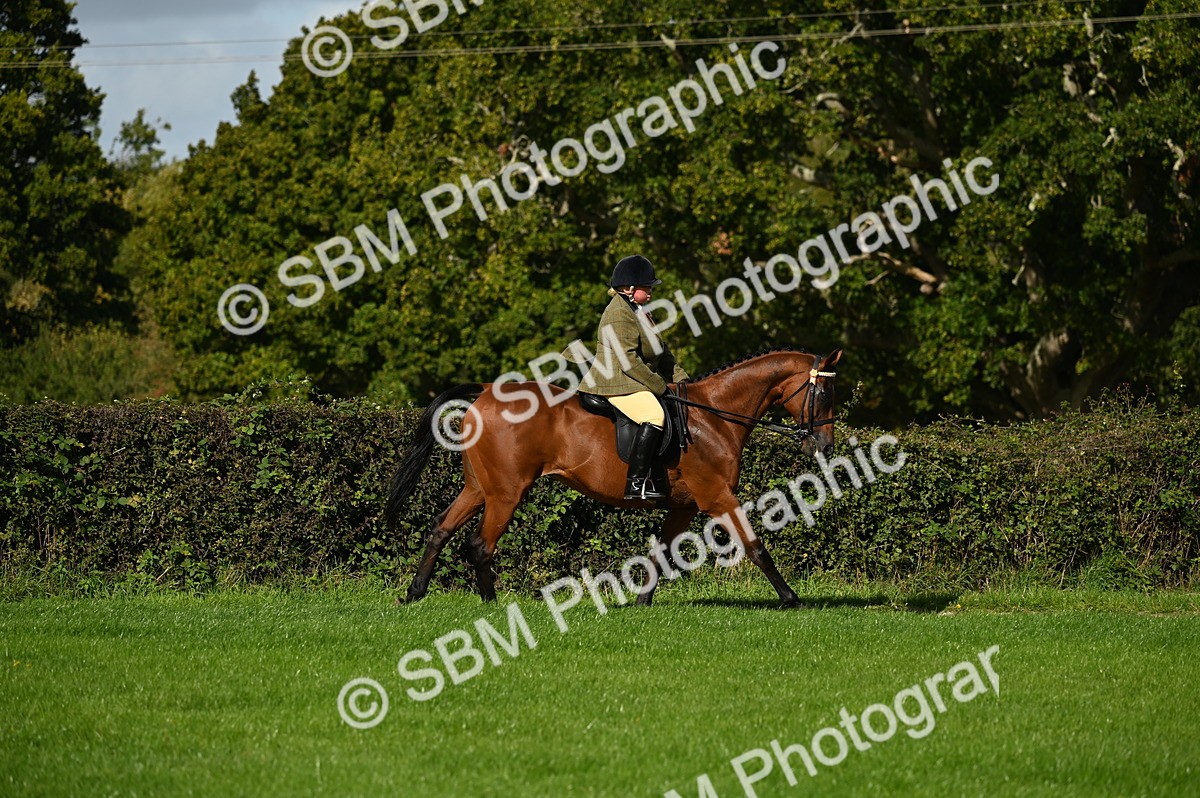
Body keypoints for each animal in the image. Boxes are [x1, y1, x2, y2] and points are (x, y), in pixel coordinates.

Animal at [385, 347, 842, 607]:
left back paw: (415, 594)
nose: (823, 445)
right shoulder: (717, 497)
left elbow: (662, 552)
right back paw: (490, 603)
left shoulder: (684, 505)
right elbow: (755, 546)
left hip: (479, 487)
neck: (715, 417)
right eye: (822, 393)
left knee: (441, 529)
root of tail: (484, 392)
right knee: (480, 544)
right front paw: (791, 599)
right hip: (507, 493)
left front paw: (641, 603)